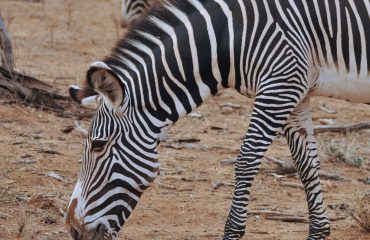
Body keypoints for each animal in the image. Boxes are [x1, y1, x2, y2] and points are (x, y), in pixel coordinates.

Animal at [66, 0, 370, 239]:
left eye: (98, 145)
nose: (73, 230)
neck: (230, 36)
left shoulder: (280, 86)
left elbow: (246, 159)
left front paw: (232, 232)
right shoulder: (297, 91)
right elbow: (306, 164)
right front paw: (318, 232)